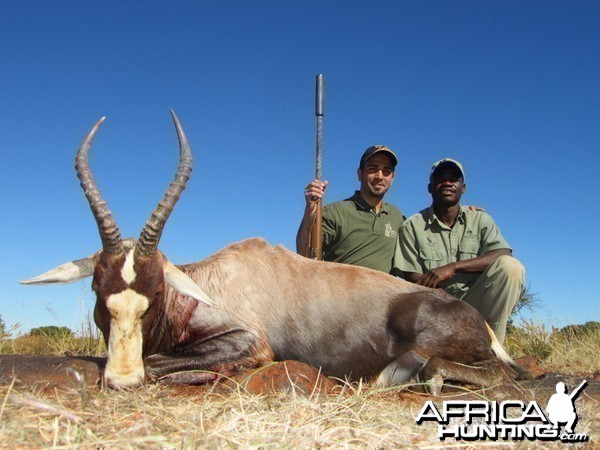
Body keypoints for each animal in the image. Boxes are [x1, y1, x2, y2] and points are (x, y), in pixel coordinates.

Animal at [21, 112, 524, 394]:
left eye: (155, 291)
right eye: (97, 290)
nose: (122, 381)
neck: (210, 282)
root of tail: (482, 325)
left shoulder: (251, 342)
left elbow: (159, 364)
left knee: (489, 373)